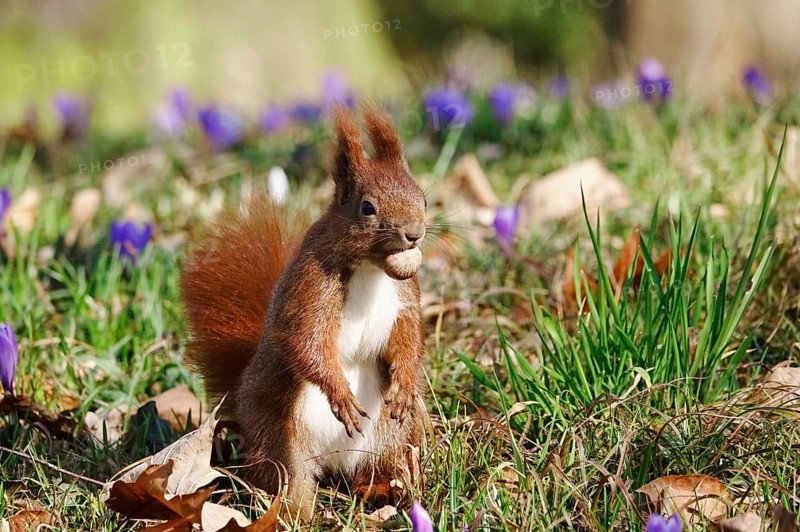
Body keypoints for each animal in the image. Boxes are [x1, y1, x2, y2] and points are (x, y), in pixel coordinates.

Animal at [180, 105, 427, 516]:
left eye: (423, 198)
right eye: (367, 208)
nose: (414, 234)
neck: (371, 268)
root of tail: (334, 461)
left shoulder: (405, 295)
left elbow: (409, 334)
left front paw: (405, 381)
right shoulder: (311, 287)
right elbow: (304, 339)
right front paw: (340, 395)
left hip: (390, 434)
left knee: (379, 463)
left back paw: (380, 490)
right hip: (279, 437)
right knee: (289, 479)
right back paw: (294, 512)